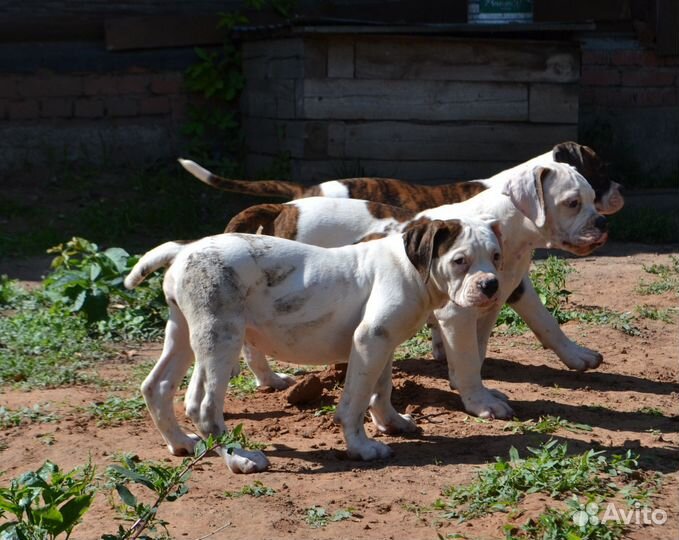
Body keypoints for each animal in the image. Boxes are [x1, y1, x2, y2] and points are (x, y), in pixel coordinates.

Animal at [126, 217, 500, 474]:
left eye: (496, 256)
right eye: (460, 261)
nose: (491, 284)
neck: (410, 269)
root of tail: (185, 249)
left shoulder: (383, 343)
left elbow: (381, 390)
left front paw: (392, 423)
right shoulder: (370, 339)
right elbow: (354, 402)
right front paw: (361, 448)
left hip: (183, 334)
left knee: (156, 386)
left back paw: (180, 443)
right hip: (221, 337)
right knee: (202, 405)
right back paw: (239, 458)